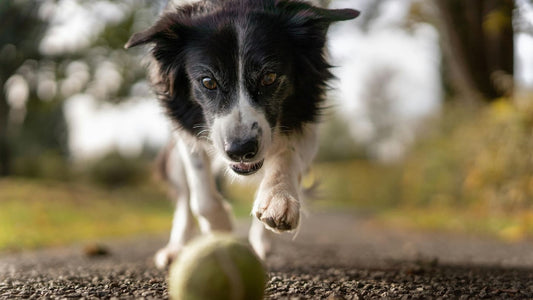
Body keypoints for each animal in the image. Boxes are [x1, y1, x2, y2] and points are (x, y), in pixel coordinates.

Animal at [124, 0, 358, 268]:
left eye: (269, 77)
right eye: (208, 82)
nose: (240, 150)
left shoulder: (307, 118)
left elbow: (287, 155)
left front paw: (278, 199)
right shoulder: (186, 130)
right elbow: (201, 196)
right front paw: (222, 230)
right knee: (184, 198)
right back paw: (175, 249)